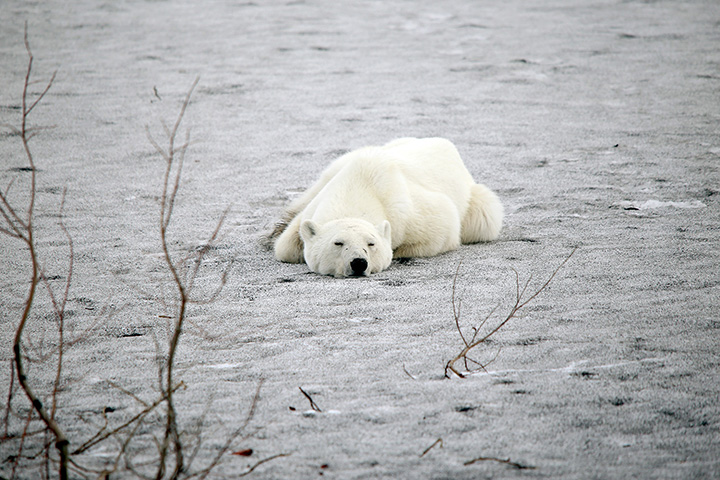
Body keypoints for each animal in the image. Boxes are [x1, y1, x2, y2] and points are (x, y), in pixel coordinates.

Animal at [272, 137, 506, 276]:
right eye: (338, 243)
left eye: (371, 243)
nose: (359, 263)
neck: (359, 186)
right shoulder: (321, 199)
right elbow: (285, 246)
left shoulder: (408, 211)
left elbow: (442, 227)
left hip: (476, 203)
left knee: (483, 218)